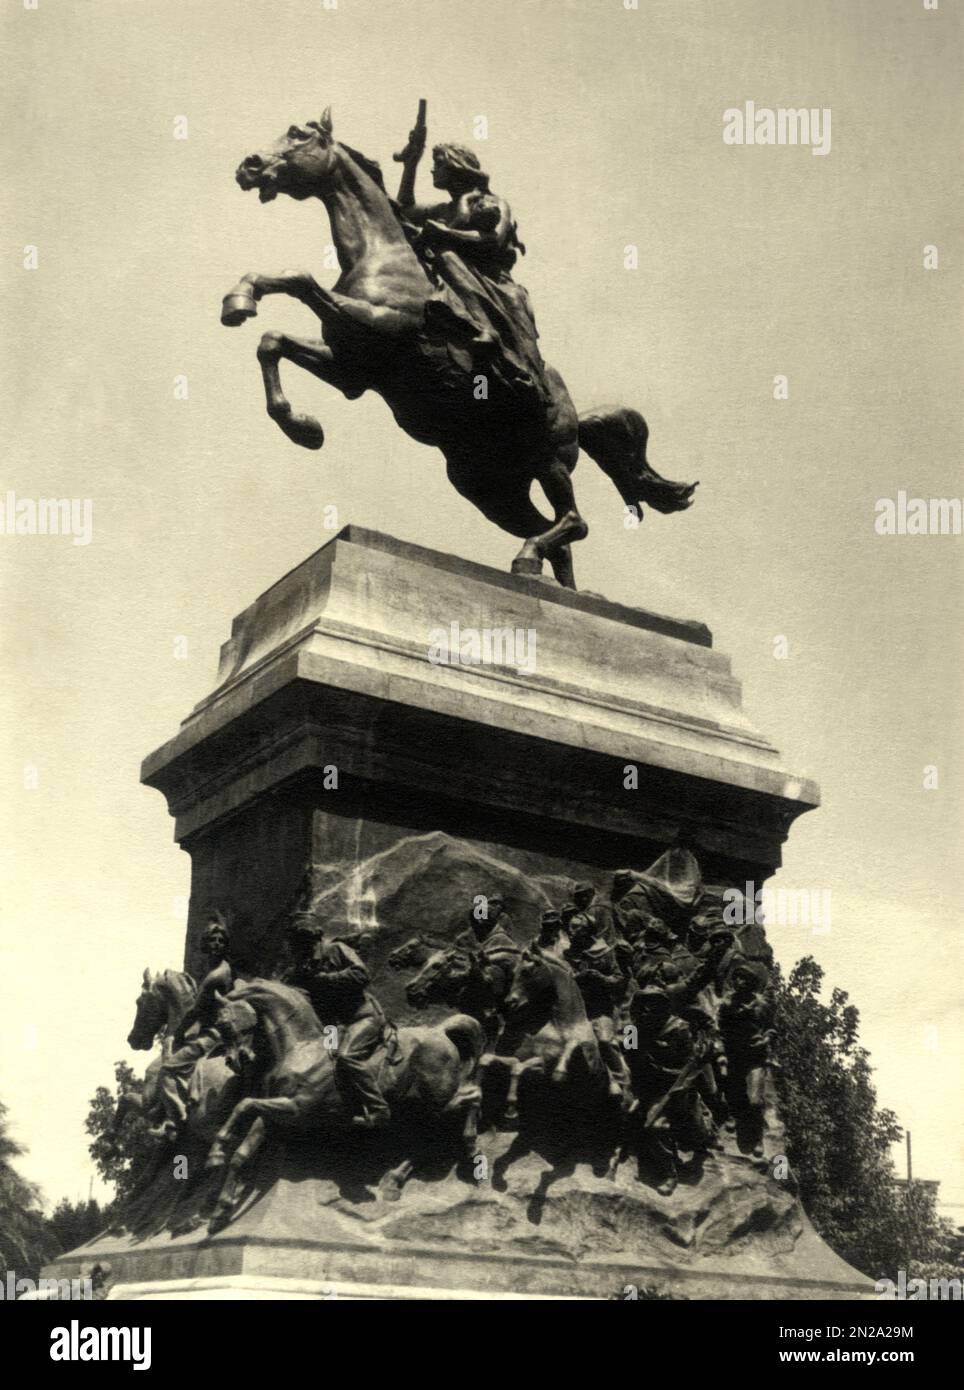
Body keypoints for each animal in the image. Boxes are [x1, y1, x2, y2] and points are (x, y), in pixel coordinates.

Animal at [222, 107, 697, 586]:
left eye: (299, 134)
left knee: (574, 521)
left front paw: (242, 302)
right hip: (487, 487)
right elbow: (272, 341)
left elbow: (299, 278)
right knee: (557, 534)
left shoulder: (382, 321)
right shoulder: (351, 369)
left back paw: (532, 560)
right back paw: (556, 585)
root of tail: (579, 418)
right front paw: (301, 424)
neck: (381, 254)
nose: (249, 166)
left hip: (549, 459)